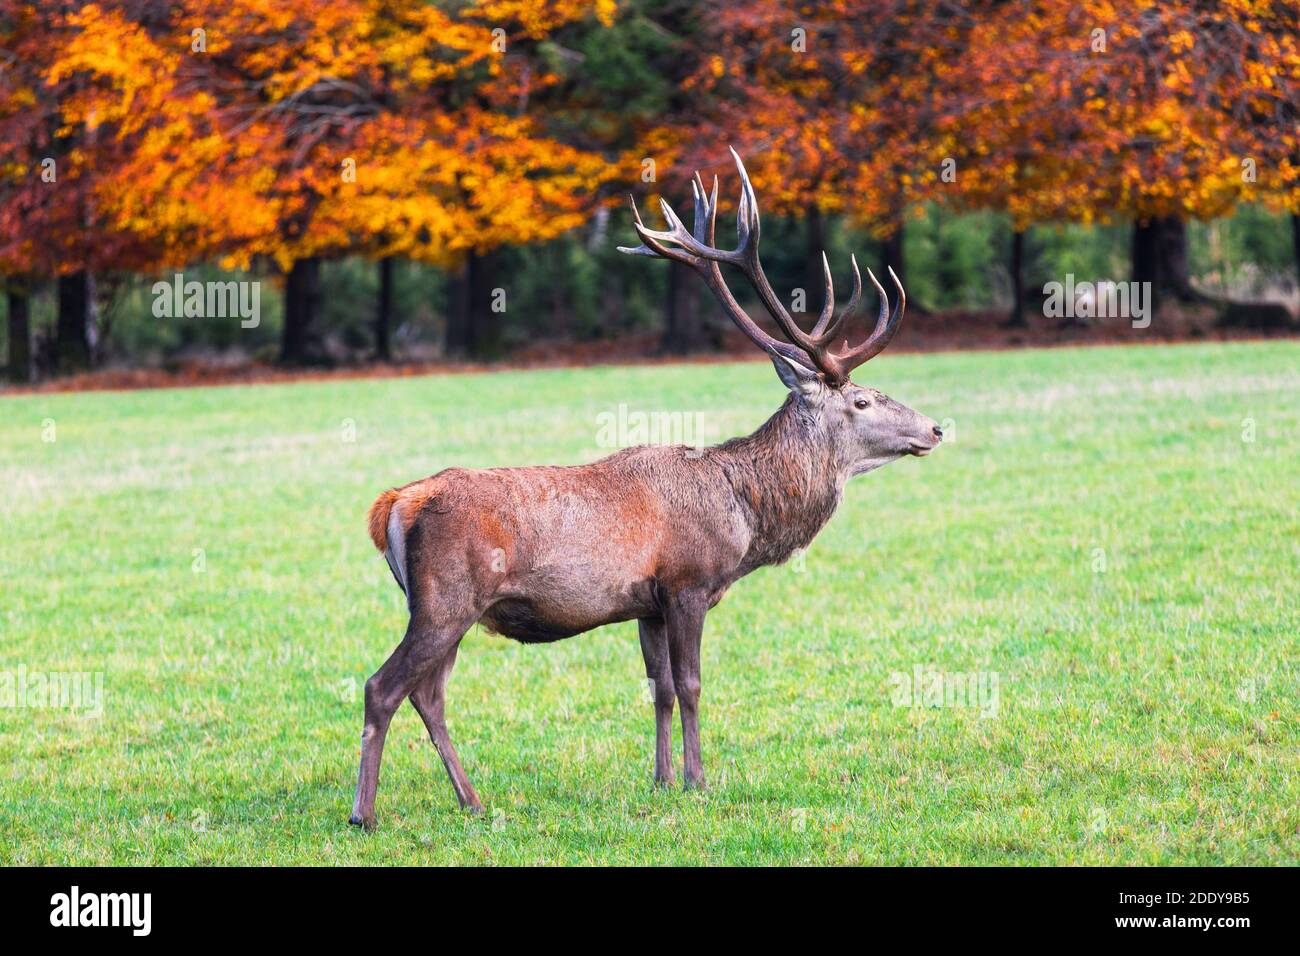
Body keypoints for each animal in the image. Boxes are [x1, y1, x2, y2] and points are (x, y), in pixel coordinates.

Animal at [351, 149, 941, 832]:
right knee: (383, 686)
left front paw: (660, 780)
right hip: (446, 597)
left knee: (429, 692)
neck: (745, 515)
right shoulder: (687, 582)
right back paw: (364, 813)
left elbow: (657, 688)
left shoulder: (647, 603)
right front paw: (699, 781)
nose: (935, 428)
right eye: (863, 400)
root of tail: (395, 503)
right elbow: (690, 685)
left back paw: (471, 799)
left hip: (444, 607)